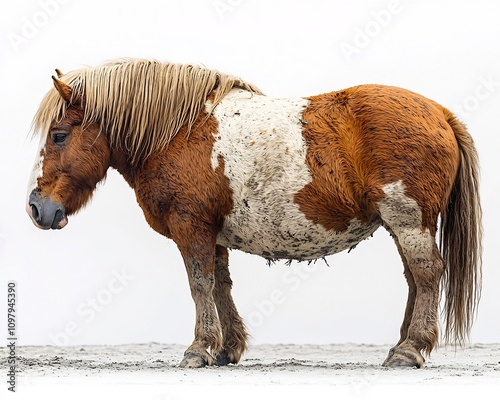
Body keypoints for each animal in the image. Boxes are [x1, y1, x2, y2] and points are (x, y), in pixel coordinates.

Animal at [26, 57, 480, 368]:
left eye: (59, 135)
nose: (36, 207)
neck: (178, 132)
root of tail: (440, 113)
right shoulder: (213, 234)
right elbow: (220, 286)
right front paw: (227, 348)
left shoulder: (191, 226)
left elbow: (200, 285)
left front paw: (199, 349)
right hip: (402, 225)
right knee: (415, 279)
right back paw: (401, 345)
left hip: (409, 222)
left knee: (427, 275)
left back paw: (410, 349)